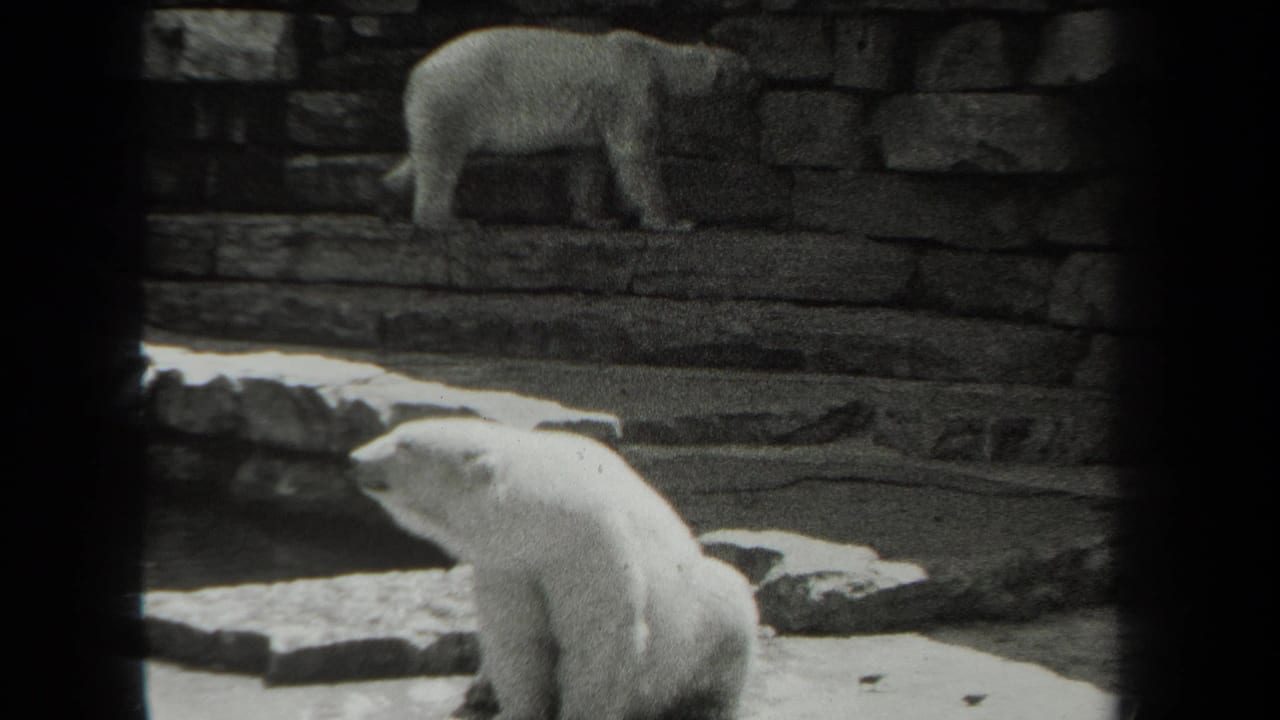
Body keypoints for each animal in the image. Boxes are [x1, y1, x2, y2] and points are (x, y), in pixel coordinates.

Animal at [349, 417, 758, 720]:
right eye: (397, 432)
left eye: (404, 443)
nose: (353, 458)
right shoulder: (508, 564)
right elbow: (517, 637)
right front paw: (518, 708)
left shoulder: (588, 545)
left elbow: (599, 638)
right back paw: (481, 691)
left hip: (703, 619)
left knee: (725, 613)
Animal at [378, 26, 757, 232]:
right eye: (746, 67)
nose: (763, 78)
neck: (653, 53)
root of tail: (416, 74)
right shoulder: (630, 88)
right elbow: (633, 152)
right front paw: (673, 221)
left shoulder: (596, 112)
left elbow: (587, 160)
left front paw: (598, 218)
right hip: (455, 98)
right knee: (442, 160)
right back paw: (447, 221)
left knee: (422, 156)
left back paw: (391, 191)